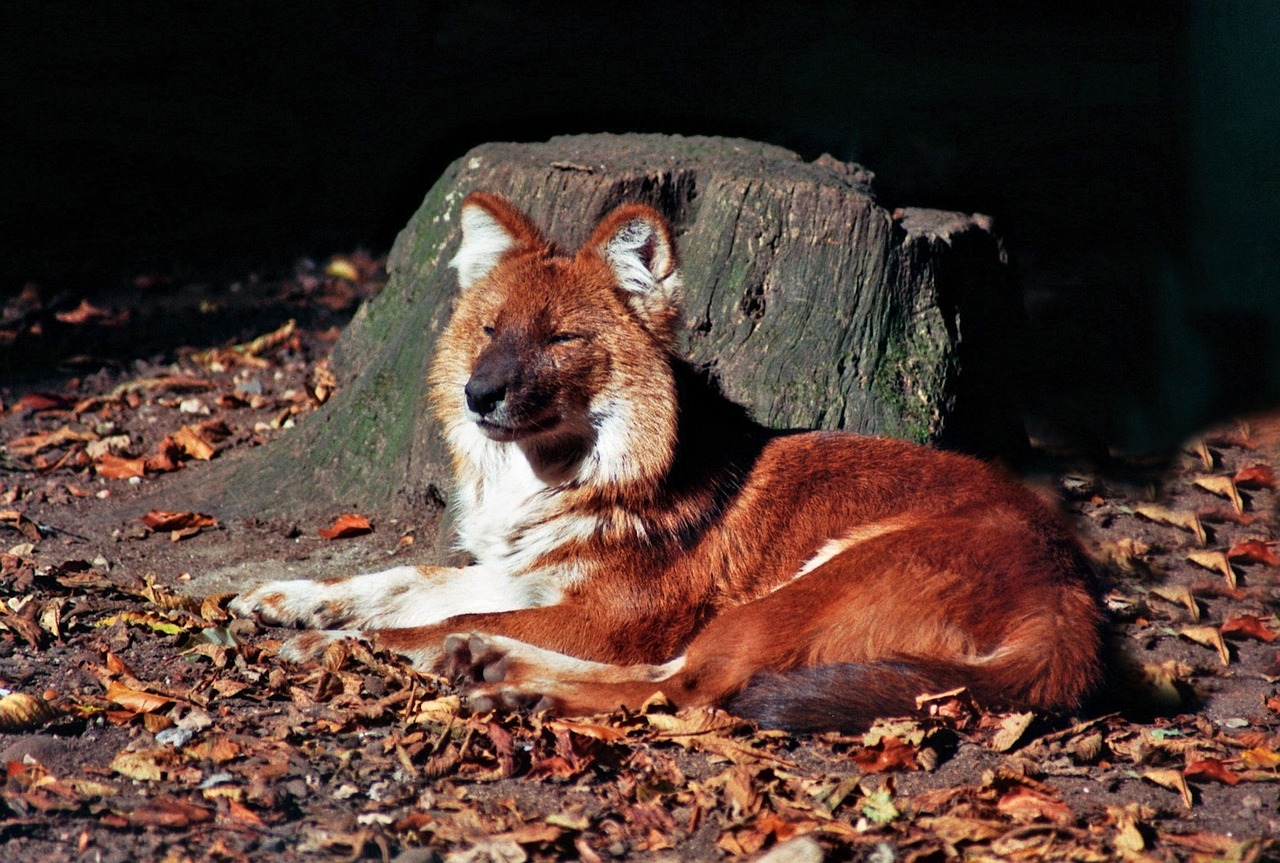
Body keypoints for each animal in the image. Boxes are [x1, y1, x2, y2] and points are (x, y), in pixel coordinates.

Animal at [232, 192, 1111, 727]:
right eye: (489, 329)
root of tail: (1074, 600)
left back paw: (507, 679)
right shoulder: (528, 570)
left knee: (683, 684)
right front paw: (293, 597)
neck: (558, 477)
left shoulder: (610, 614)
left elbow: (434, 613)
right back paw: (493, 666)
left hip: (806, 586)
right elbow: (407, 580)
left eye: (561, 338)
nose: (480, 394)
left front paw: (339, 643)